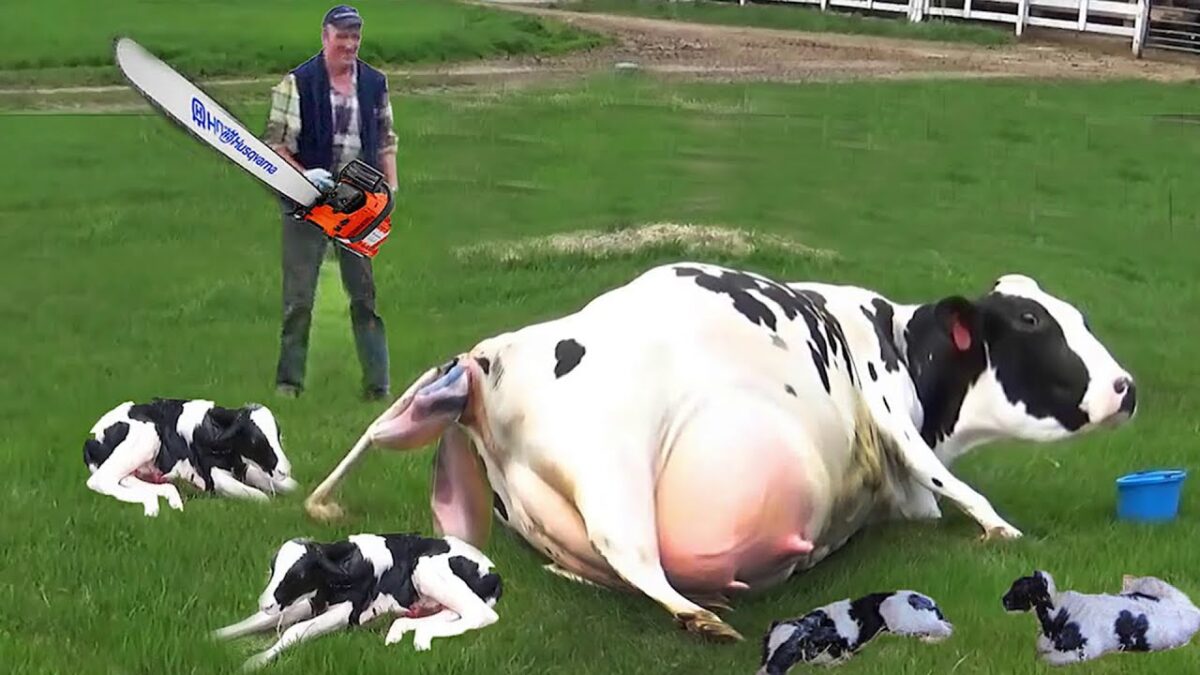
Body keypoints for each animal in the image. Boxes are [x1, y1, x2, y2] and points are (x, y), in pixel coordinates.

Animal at [302, 262, 1137, 643]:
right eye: (1030, 320)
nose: (1127, 386)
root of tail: (490, 358)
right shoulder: (888, 405)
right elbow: (955, 488)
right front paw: (1003, 529)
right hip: (616, 461)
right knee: (634, 554)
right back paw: (703, 618)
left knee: (602, 565)